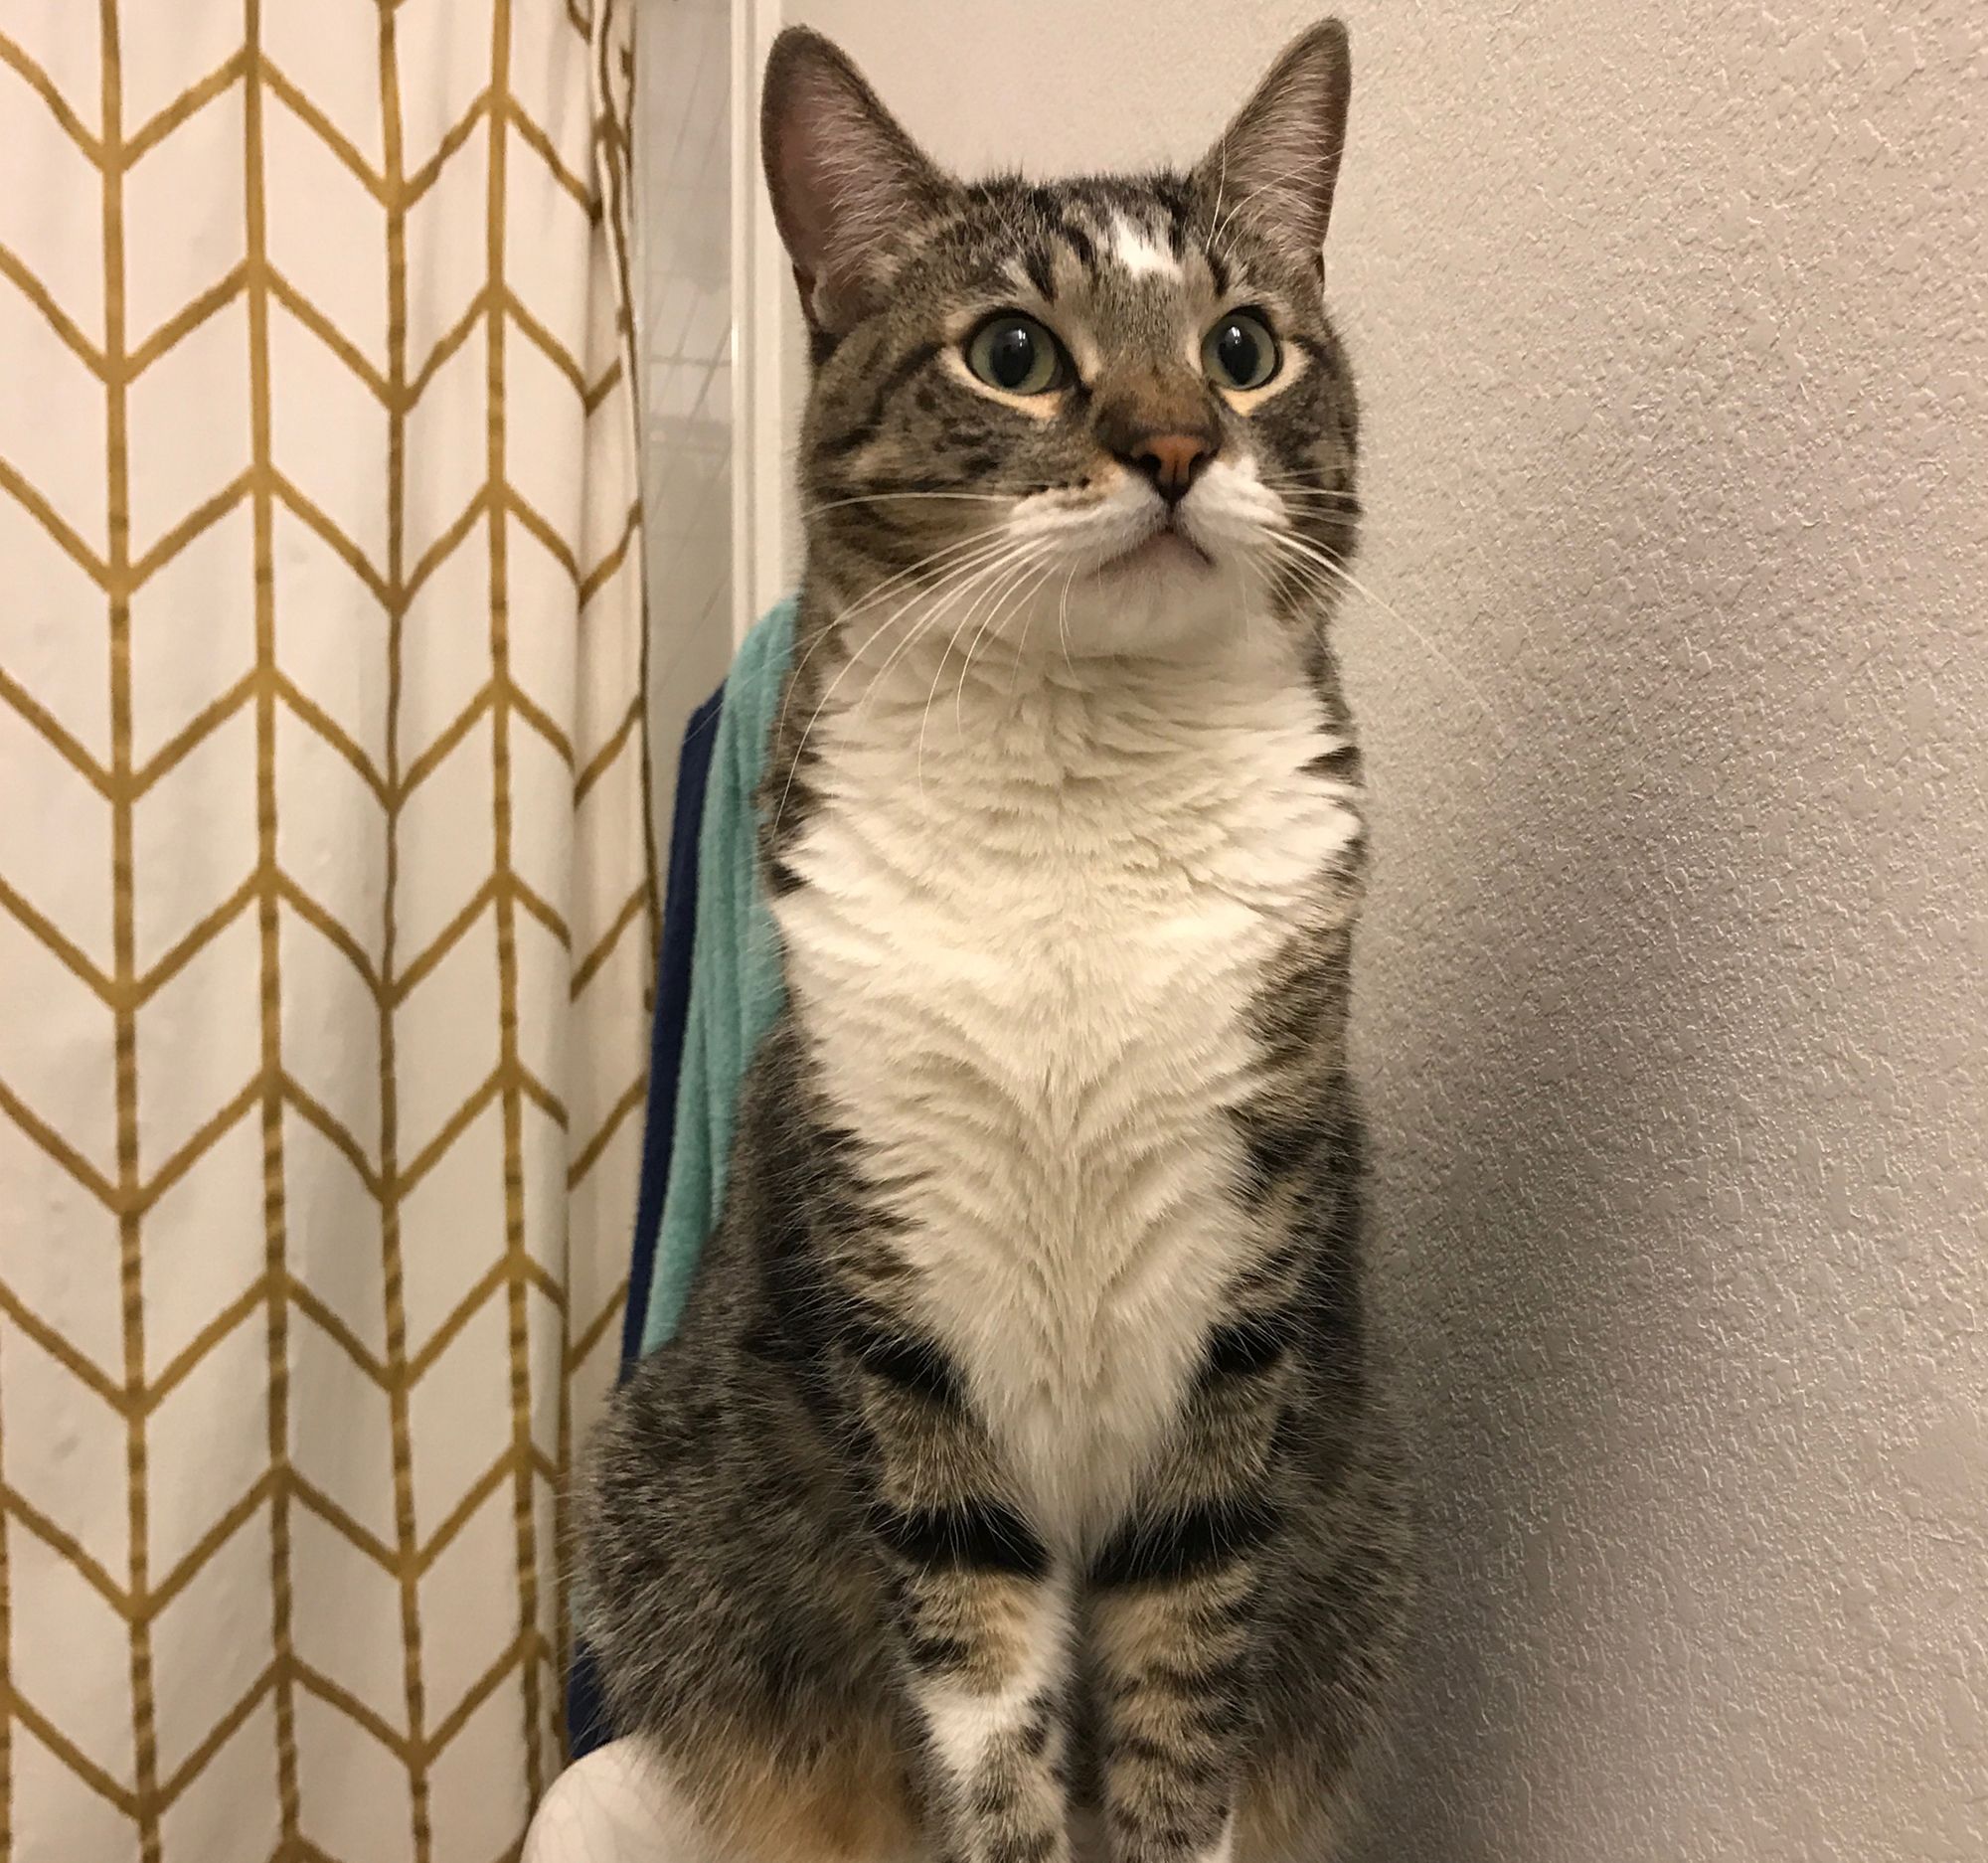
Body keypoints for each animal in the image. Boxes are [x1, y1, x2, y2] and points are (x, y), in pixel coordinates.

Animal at [580, 18, 1415, 1861]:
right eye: (1014, 351)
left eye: (1244, 347)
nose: (1175, 445)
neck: (1077, 786)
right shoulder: (904, 1284)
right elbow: (984, 1671)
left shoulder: (1242, 1282)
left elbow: (1183, 1657)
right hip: (667, 1504)